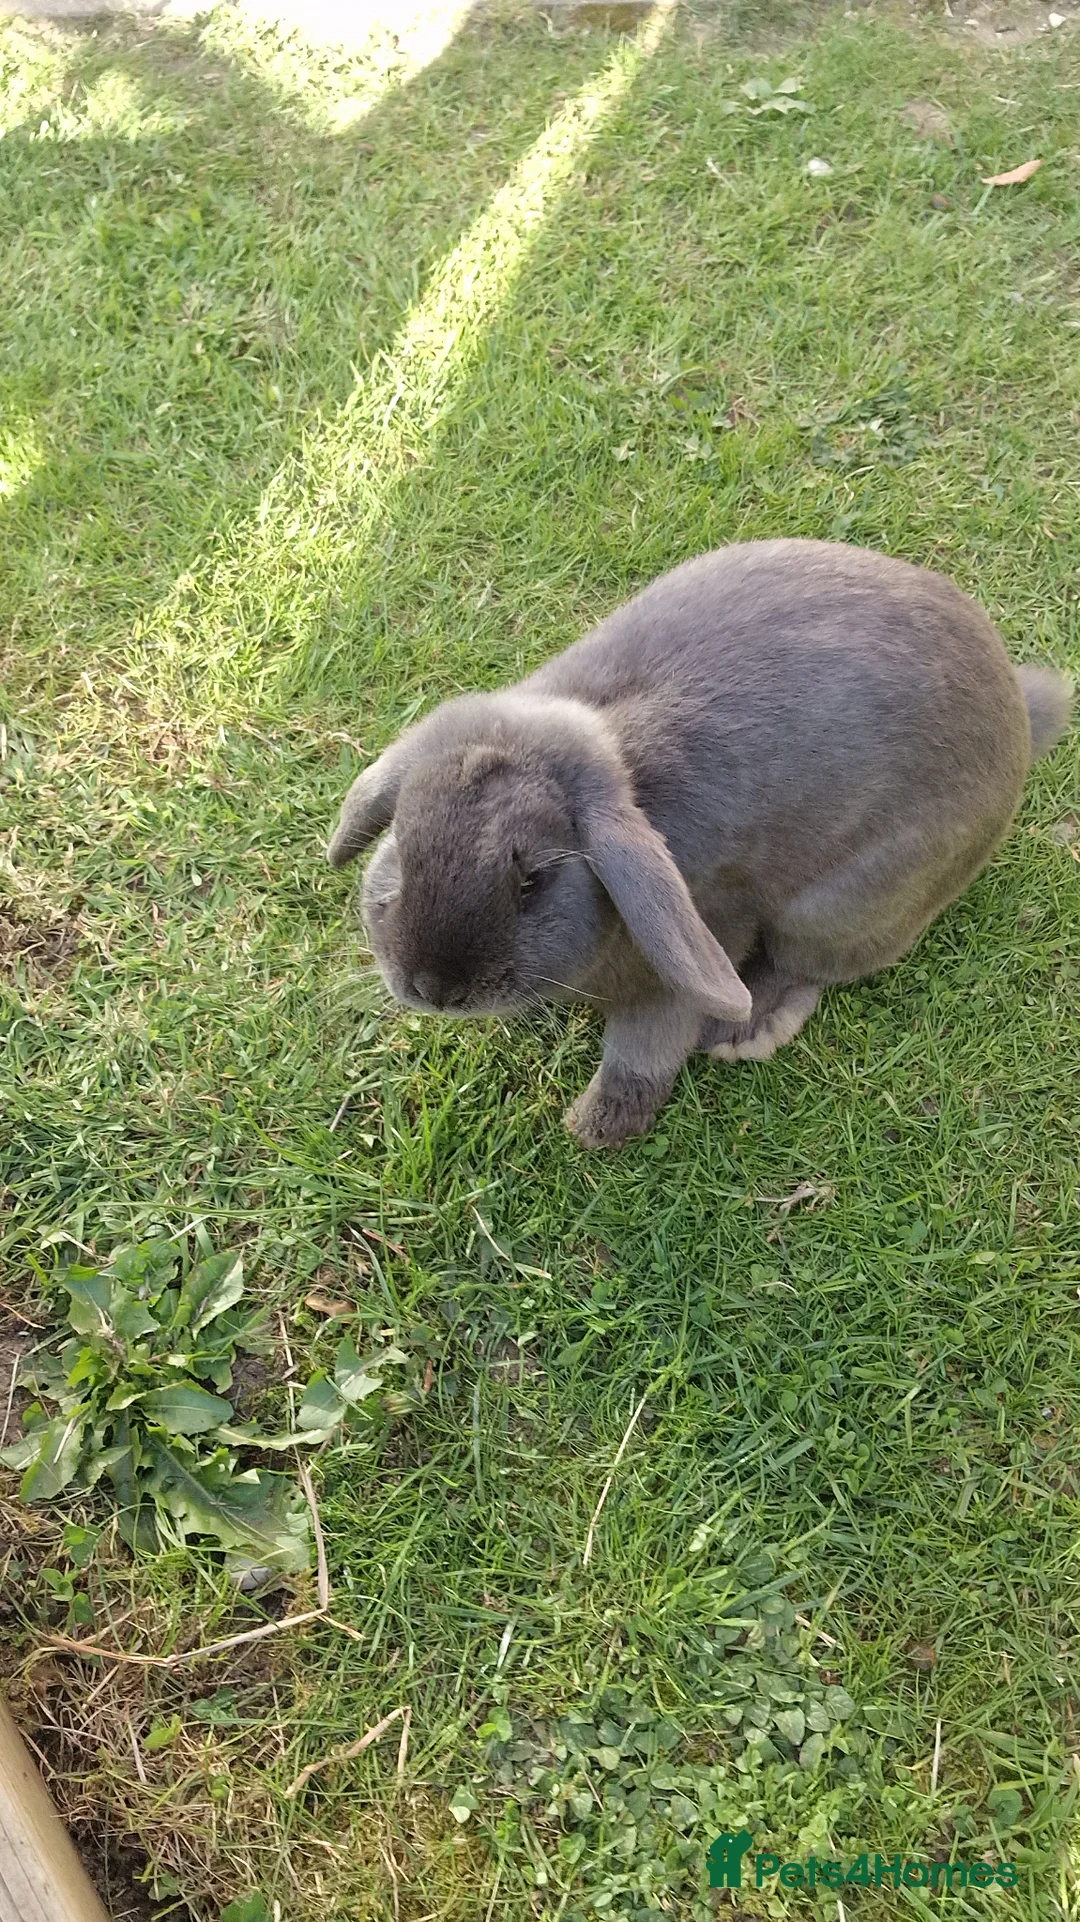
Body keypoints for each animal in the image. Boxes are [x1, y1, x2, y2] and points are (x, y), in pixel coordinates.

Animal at [328, 540, 1071, 1147]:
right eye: (401, 845)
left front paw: (596, 1128)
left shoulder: (688, 958)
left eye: (532, 881)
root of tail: (1018, 713)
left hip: (839, 909)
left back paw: (744, 1031)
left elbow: (644, 1051)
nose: (433, 988)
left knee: (807, 970)